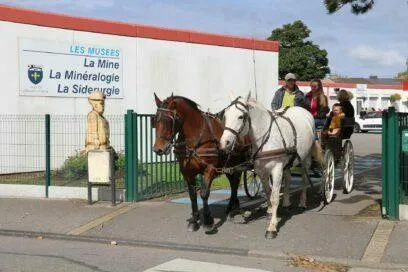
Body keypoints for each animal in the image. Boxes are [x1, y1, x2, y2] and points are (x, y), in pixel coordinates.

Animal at [151, 93, 247, 232]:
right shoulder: (186, 171)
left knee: (235, 184)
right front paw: (194, 220)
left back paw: (234, 209)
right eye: (155, 120)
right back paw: (231, 206)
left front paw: (208, 221)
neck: (195, 138)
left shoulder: (210, 169)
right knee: (233, 183)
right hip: (228, 166)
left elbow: (204, 193)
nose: (158, 149)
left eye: (169, 120)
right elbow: (192, 195)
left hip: (239, 165)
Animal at [220, 94, 318, 239]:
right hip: (287, 163)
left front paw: (272, 227)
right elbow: (268, 192)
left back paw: (302, 203)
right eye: (226, 115)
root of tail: (304, 111)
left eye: (241, 116)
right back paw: (287, 203)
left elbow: (275, 196)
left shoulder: (276, 169)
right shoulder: (262, 171)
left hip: (305, 159)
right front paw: (271, 212)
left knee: (305, 180)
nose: (224, 143)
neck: (266, 137)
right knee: (288, 179)